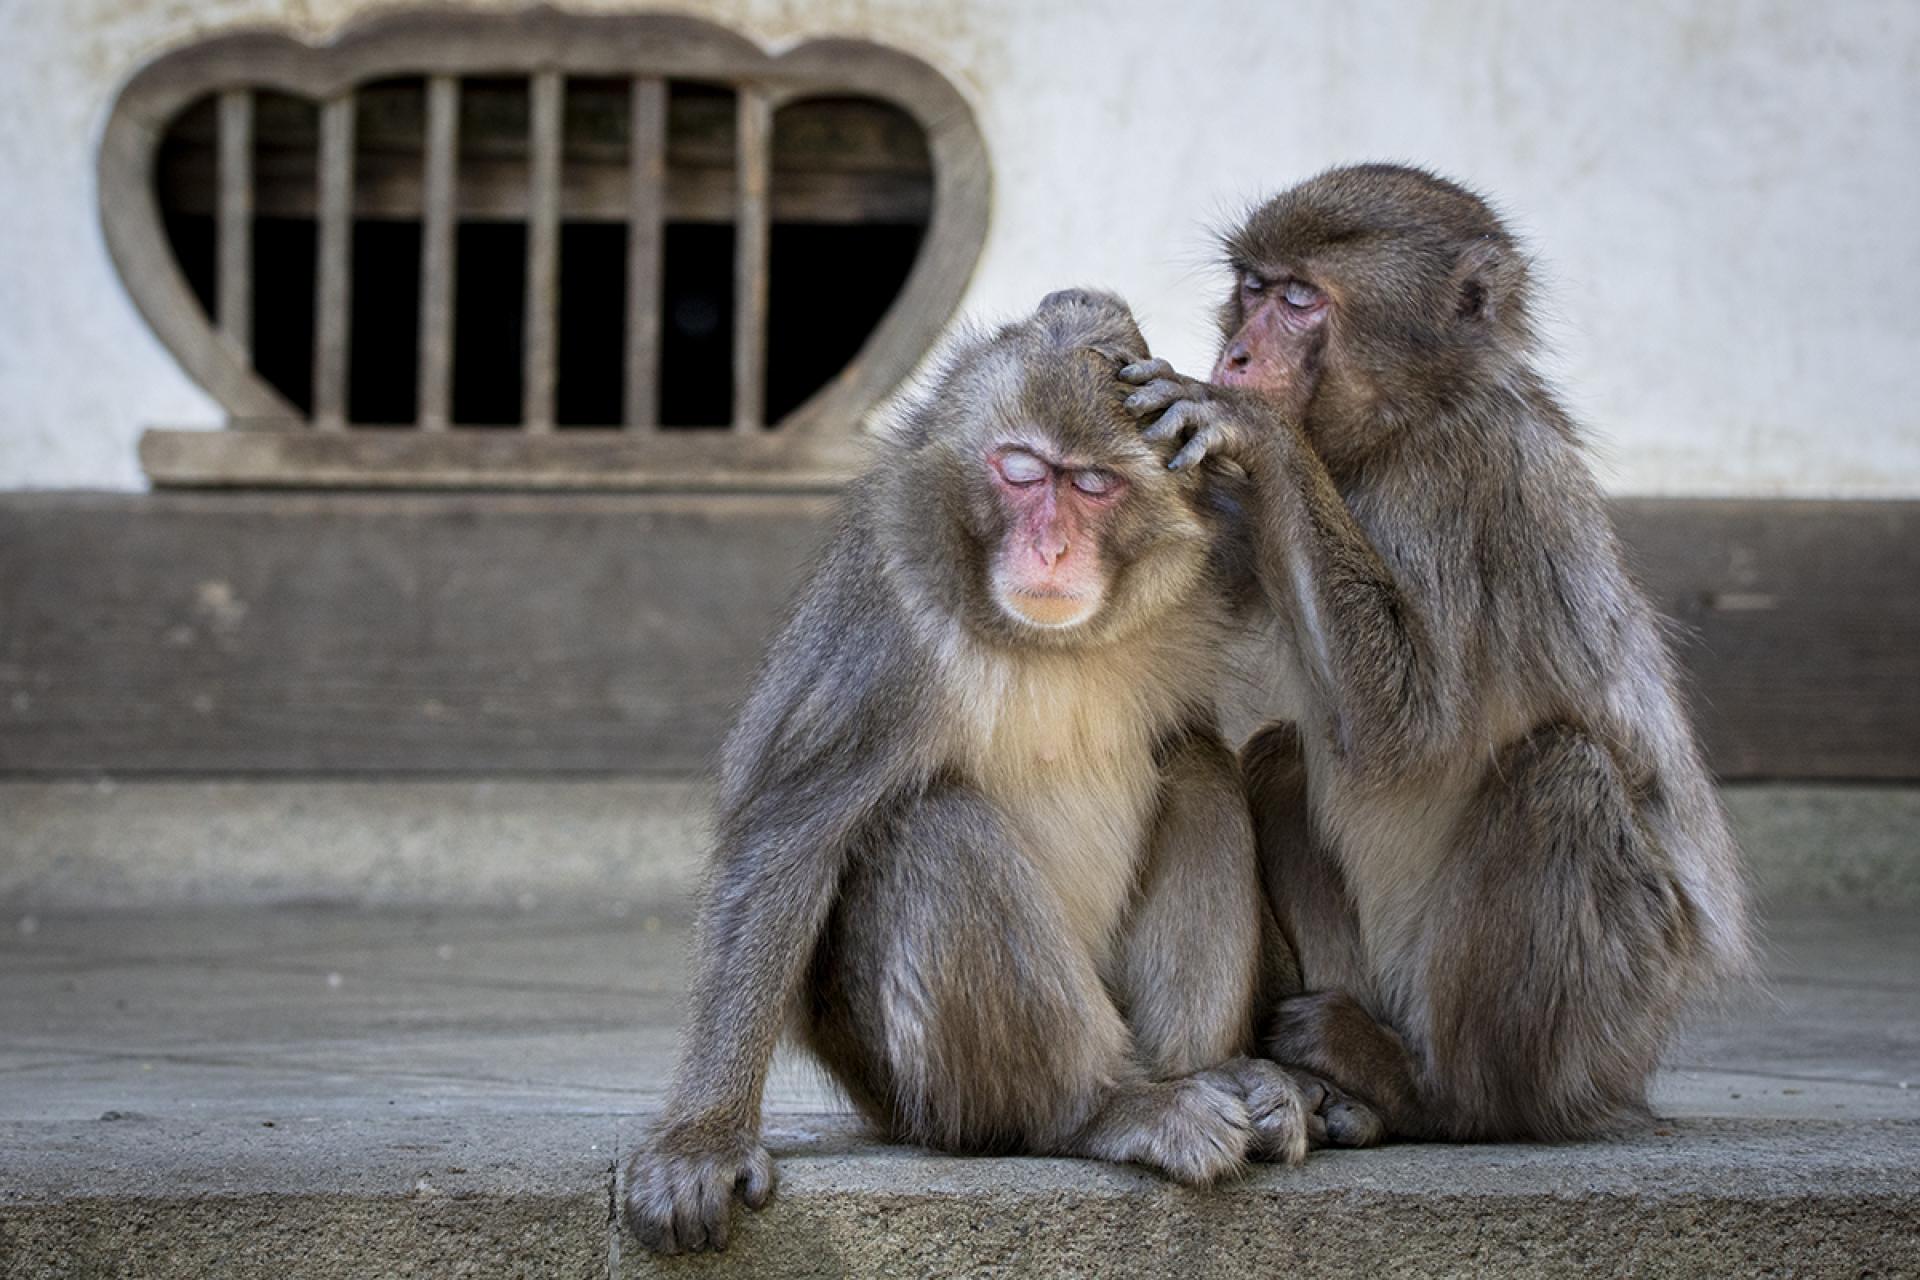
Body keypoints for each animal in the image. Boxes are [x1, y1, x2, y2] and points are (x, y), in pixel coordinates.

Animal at [624, 290, 1320, 1255]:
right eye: (1022, 472)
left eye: (1091, 485)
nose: (1051, 550)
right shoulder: (886, 612)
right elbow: (785, 837)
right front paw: (703, 1141)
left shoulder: (1224, 549)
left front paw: (1239, 427)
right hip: (920, 1092)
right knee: (934, 826)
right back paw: (1106, 1110)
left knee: (1198, 768)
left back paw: (1221, 1080)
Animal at [1118, 163, 1753, 1144]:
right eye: (1253, 288)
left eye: (1300, 299)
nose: (1237, 358)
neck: (1399, 432)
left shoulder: (1462, 480)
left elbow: (1404, 732)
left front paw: (1253, 426)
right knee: (1286, 756)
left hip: (1612, 1015)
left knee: (1562, 774)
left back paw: (1439, 1094)